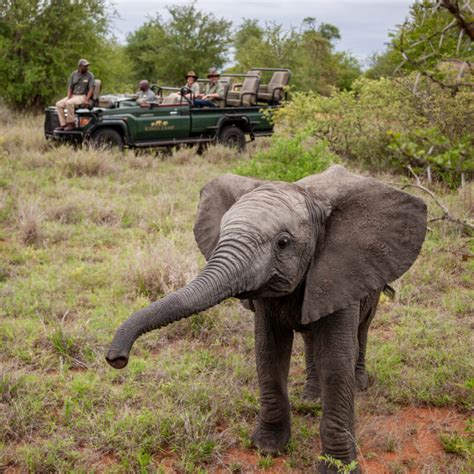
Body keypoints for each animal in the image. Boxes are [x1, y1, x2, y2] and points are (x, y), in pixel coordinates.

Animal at [107, 165, 426, 472]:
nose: (117, 359)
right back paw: (311, 398)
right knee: (310, 338)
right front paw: (268, 448)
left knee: (363, 329)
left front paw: (337, 467)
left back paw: (359, 384)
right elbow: (269, 352)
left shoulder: (339, 272)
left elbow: (336, 360)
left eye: (283, 243)